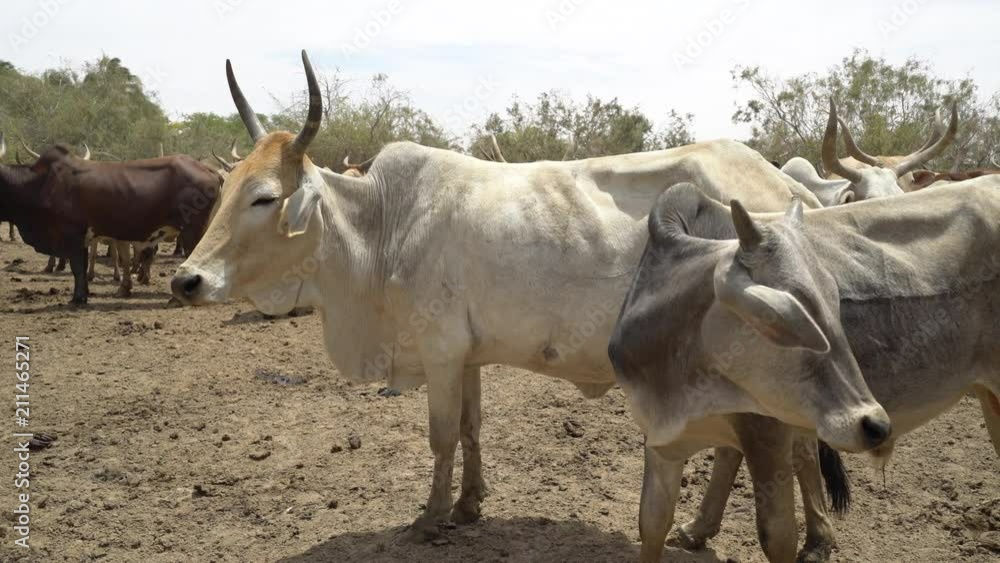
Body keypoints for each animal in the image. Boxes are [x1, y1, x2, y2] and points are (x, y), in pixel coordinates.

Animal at [0, 136, 221, 303]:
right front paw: (85, 294)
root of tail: (209, 170)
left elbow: (77, 268)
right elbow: (83, 267)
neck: (41, 183)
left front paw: (77, 299)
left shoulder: (73, 235)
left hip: (192, 230)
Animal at [169, 51, 891, 547]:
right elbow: (469, 429)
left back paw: (814, 538)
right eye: (226, 186)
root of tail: (783, 185)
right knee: (741, 447)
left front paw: (430, 518)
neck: (381, 226)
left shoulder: (437, 349)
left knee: (794, 445)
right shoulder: (464, 354)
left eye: (265, 197)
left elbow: (439, 436)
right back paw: (700, 529)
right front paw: (468, 505)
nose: (186, 280)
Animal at [611, 179, 1000, 562]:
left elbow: (777, 534)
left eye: (835, 300)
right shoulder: (660, 437)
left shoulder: (767, 433)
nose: (875, 425)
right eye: (782, 314)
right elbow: (652, 520)